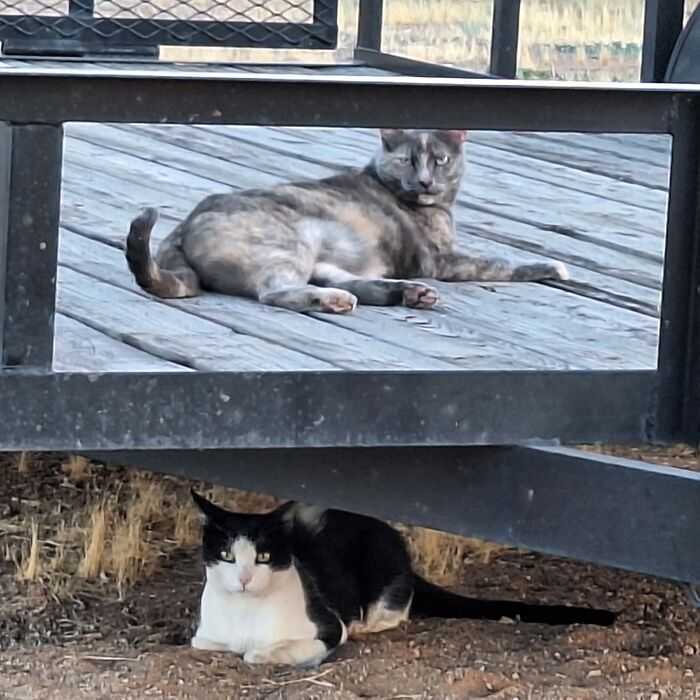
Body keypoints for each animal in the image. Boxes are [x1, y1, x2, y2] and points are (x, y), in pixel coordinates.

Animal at [124, 129, 564, 314]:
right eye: (407, 160)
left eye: (440, 160)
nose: (424, 181)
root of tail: (180, 228)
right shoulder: (439, 259)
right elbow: (500, 263)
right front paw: (552, 267)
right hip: (289, 243)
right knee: (276, 292)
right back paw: (338, 301)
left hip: (322, 256)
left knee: (345, 281)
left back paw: (407, 294)